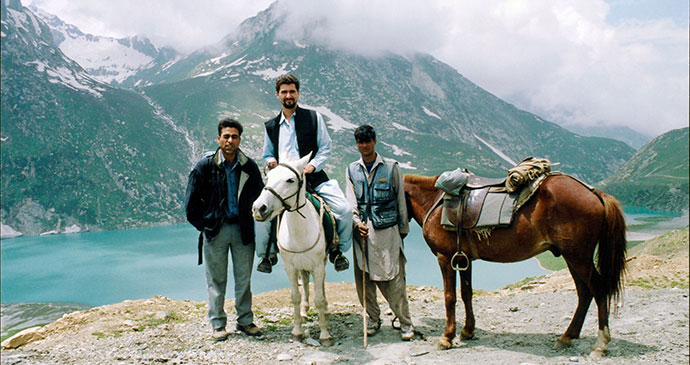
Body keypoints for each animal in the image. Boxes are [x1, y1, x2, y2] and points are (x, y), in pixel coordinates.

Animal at [251, 152, 332, 346]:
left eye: (290, 180)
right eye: (268, 177)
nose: (258, 208)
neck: (299, 231)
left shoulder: (318, 266)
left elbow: (319, 298)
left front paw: (325, 335)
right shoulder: (290, 267)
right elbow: (295, 296)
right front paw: (297, 331)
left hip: (323, 262)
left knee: (321, 284)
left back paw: (325, 310)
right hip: (301, 265)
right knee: (305, 281)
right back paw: (304, 311)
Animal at [404, 173, 624, 356]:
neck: (434, 201)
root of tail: (595, 193)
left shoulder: (445, 258)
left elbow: (449, 297)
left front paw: (446, 338)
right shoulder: (463, 259)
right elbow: (467, 294)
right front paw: (467, 331)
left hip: (579, 258)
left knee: (598, 290)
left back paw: (600, 344)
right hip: (573, 259)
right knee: (584, 293)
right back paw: (566, 337)